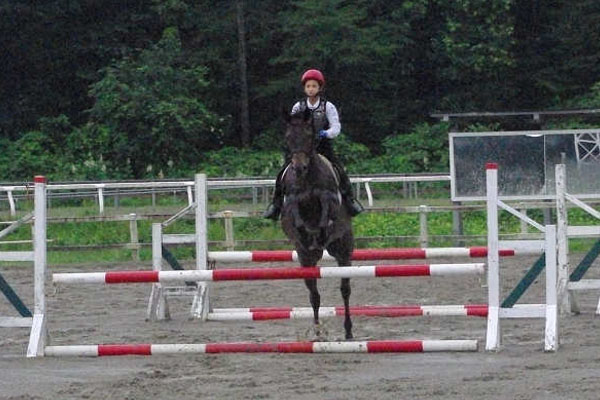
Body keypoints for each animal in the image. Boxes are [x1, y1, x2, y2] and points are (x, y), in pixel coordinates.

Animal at [280, 108, 355, 340]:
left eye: (309, 136)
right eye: (288, 138)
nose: (299, 167)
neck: (307, 179)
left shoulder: (328, 200)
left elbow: (324, 215)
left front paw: (319, 232)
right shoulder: (292, 201)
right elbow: (296, 217)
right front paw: (306, 233)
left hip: (343, 249)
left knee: (345, 289)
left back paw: (348, 331)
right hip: (306, 259)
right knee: (314, 294)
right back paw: (317, 330)